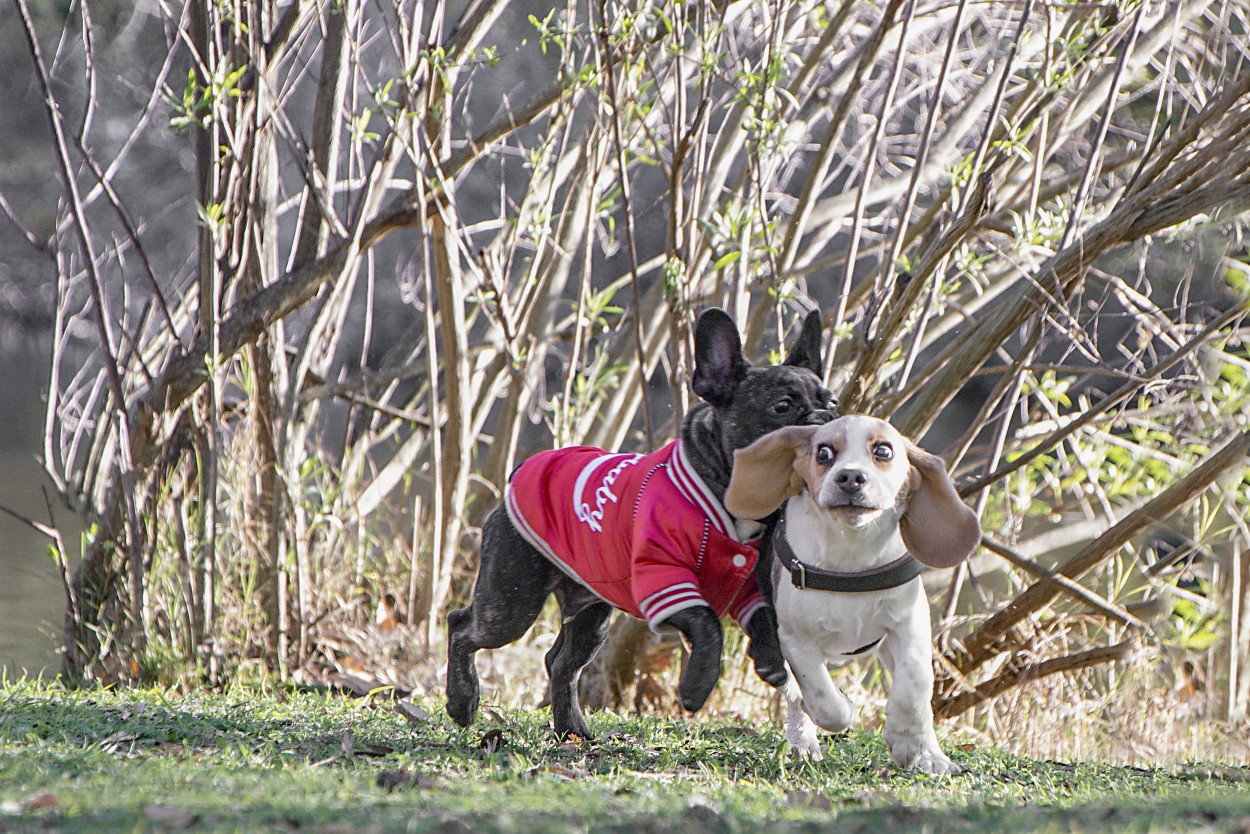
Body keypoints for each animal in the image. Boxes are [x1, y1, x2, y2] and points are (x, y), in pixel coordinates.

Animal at [730, 417, 980, 775]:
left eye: (883, 451)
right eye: (823, 453)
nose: (850, 476)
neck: (850, 554)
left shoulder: (909, 624)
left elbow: (914, 684)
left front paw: (914, 747)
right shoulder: (796, 640)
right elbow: (822, 698)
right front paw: (844, 708)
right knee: (795, 695)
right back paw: (802, 742)